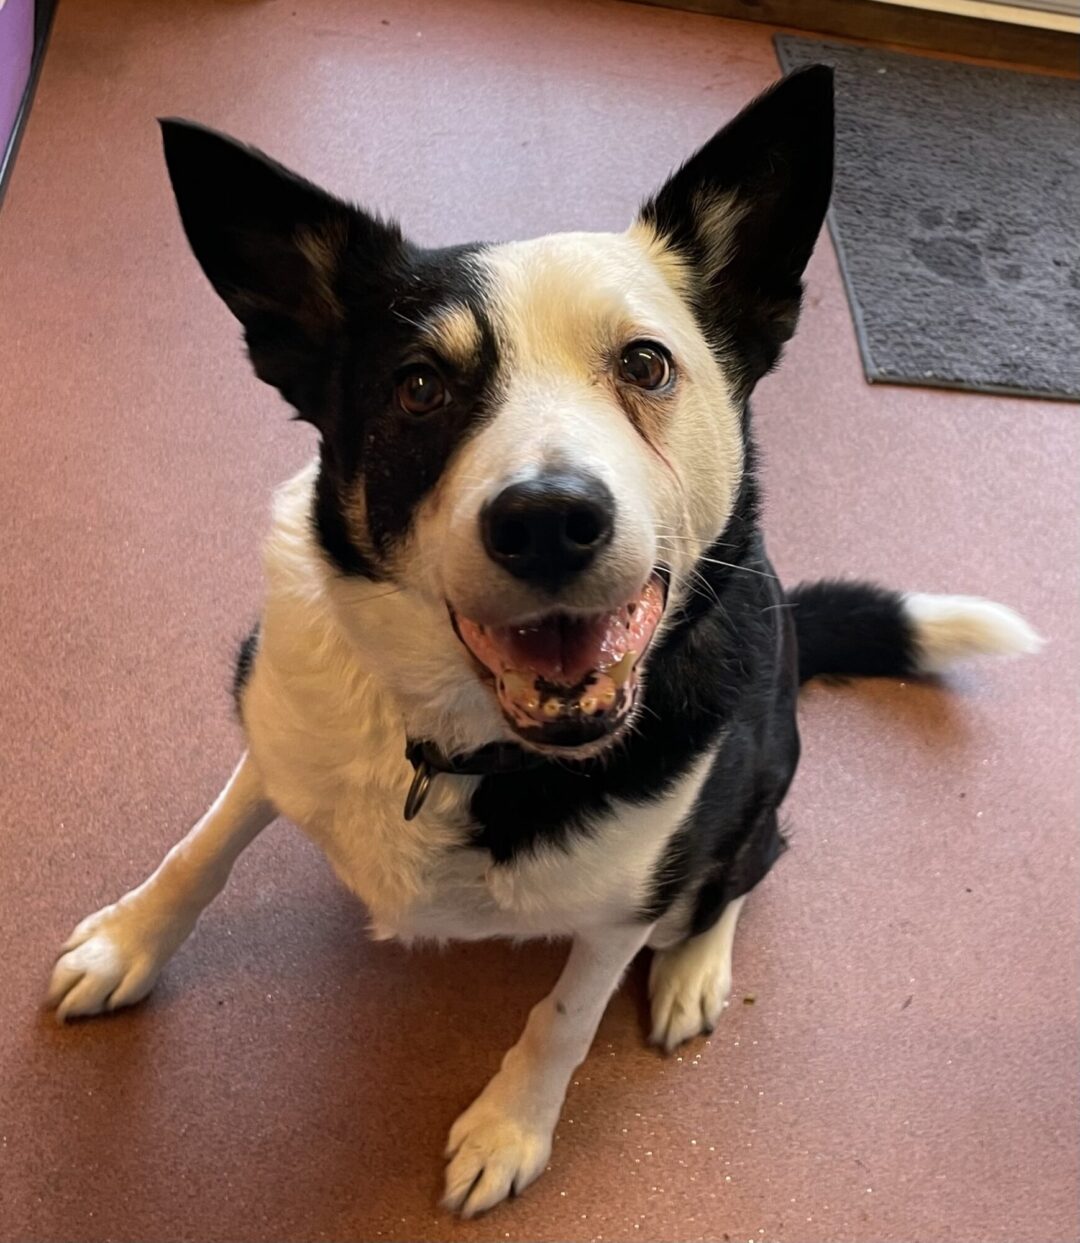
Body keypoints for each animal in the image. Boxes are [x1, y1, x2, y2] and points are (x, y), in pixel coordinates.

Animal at [46, 65, 1038, 1213]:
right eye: (420, 385)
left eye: (646, 364)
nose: (549, 519)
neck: (459, 747)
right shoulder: (281, 734)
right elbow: (198, 851)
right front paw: (128, 943)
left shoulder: (621, 906)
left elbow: (563, 1018)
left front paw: (510, 1128)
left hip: (756, 784)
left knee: (745, 866)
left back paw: (694, 970)